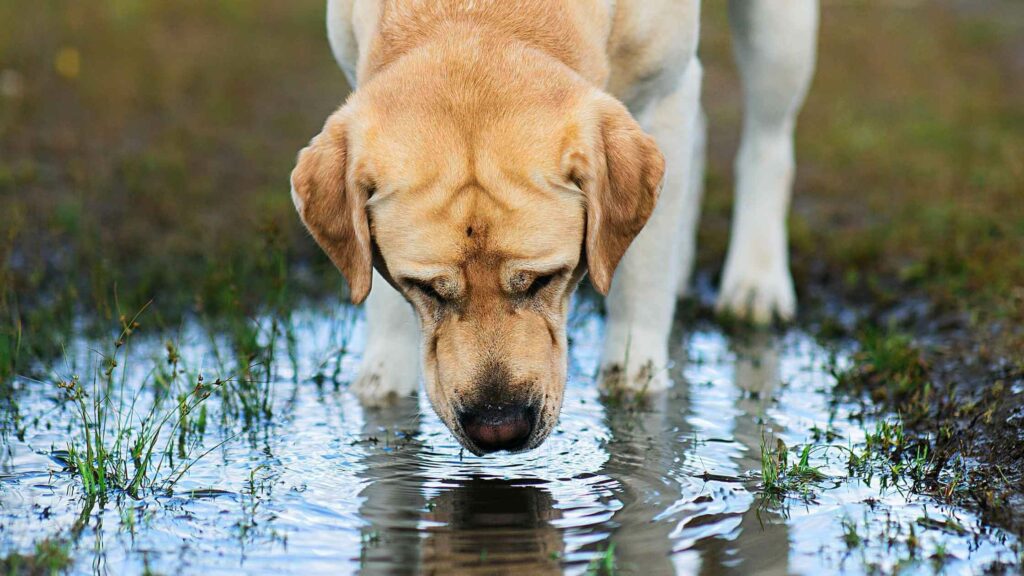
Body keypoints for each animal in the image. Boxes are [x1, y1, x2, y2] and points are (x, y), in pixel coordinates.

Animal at [292, 2, 819, 455]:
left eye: (546, 279)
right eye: (426, 289)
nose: (498, 427)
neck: (477, 14)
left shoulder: (661, 94)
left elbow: (642, 274)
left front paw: (635, 373)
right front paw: (383, 378)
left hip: (778, 37)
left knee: (768, 140)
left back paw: (756, 283)